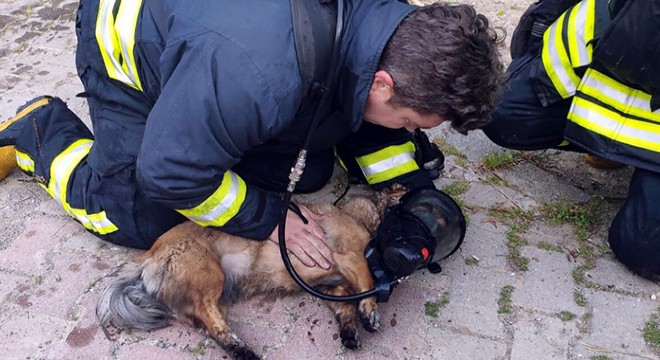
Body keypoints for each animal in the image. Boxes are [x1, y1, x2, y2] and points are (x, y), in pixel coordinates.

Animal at [96, 186, 408, 360]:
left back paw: (235, 347)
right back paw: (239, 346)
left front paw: (349, 330)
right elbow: (368, 280)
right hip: (211, 275)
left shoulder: (332, 288)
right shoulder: (351, 257)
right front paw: (370, 311)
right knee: (208, 314)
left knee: (204, 324)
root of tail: (152, 251)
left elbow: (345, 306)